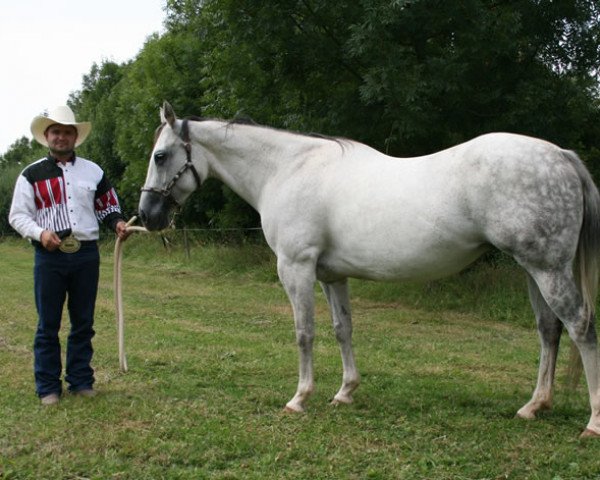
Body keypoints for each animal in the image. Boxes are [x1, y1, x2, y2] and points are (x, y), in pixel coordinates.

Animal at [138, 101, 600, 436]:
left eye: (160, 156)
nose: (147, 215)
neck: (286, 169)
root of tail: (562, 156)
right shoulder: (331, 275)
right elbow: (343, 329)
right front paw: (345, 392)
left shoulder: (296, 268)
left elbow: (304, 333)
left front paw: (300, 398)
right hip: (533, 270)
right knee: (549, 330)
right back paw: (534, 406)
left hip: (548, 269)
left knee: (580, 326)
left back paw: (592, 423)